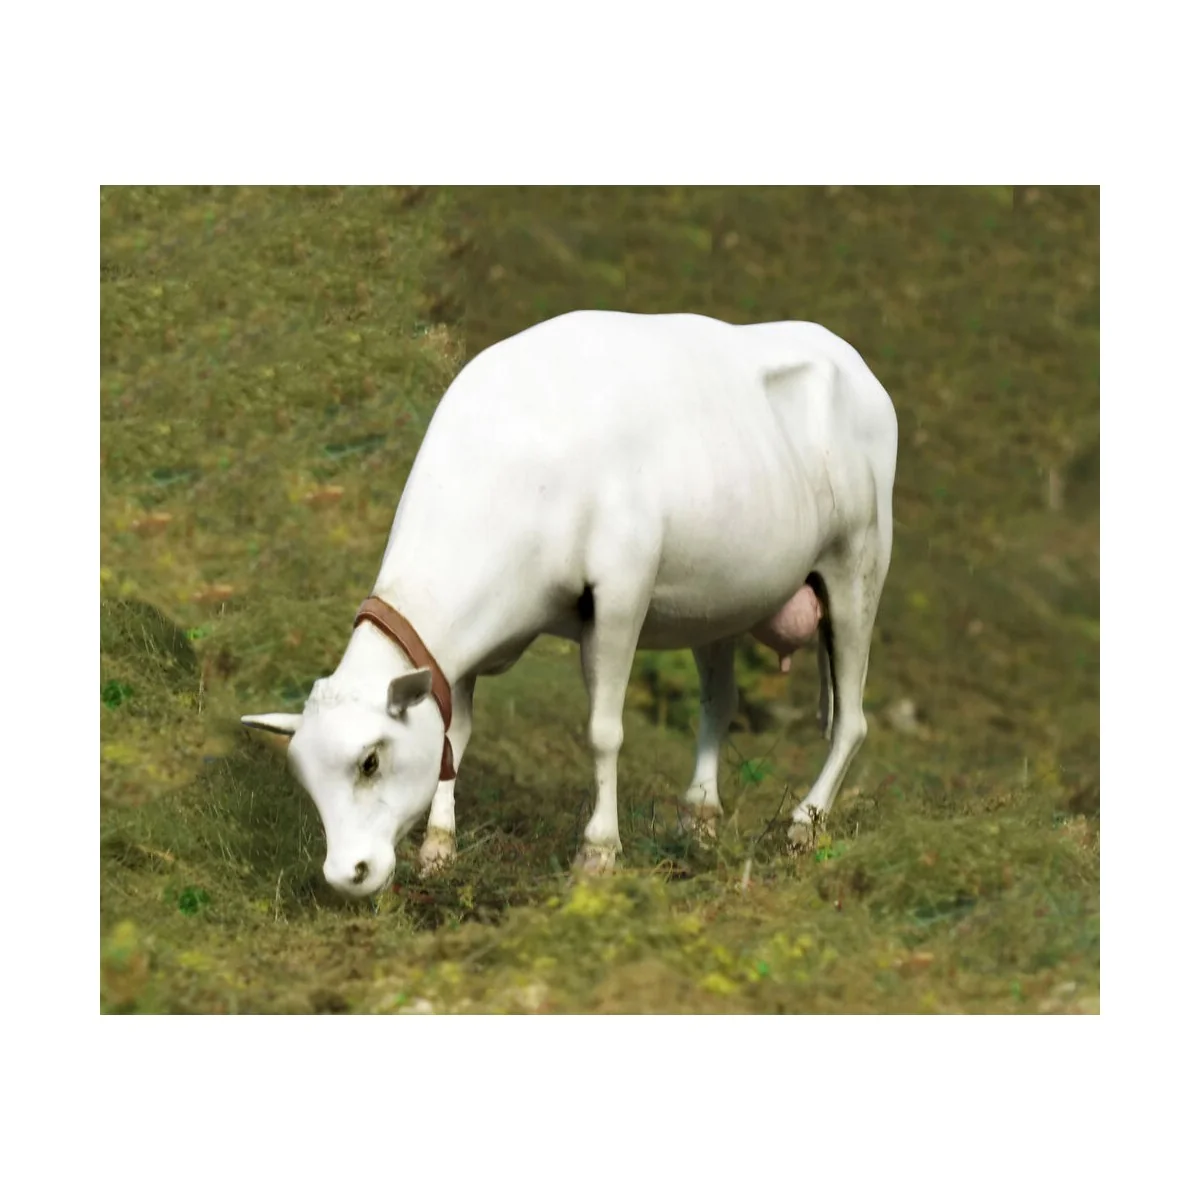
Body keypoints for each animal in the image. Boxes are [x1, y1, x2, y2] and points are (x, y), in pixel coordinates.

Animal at [242, 311, 898, 898]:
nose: (344, 876)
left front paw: (599, 852)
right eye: (303, 778)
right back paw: (699, 819)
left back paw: (804, 827)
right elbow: (456, 734)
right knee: (719, 703)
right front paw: (439, 848)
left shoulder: (621, 591)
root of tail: (842, 349)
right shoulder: (462, 650)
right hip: (719, 601)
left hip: (859, 565)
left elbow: (603, 731)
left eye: (370, 761)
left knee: (852, 721)